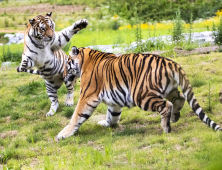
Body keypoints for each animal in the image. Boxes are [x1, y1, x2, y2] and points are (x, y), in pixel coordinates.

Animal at [56, 46, 221, 139]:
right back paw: (174, 118)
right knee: (179, 98)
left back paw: (166, 127)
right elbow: (112, 116)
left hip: (141, 94)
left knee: (166, 105)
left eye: (67, 63)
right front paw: (107, 123)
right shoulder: (114, 100)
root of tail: (169, 62)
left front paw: (63, 134)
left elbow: (76, 116)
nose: (62, 75)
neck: (85, 59)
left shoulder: (87, 95)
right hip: (169, 89)